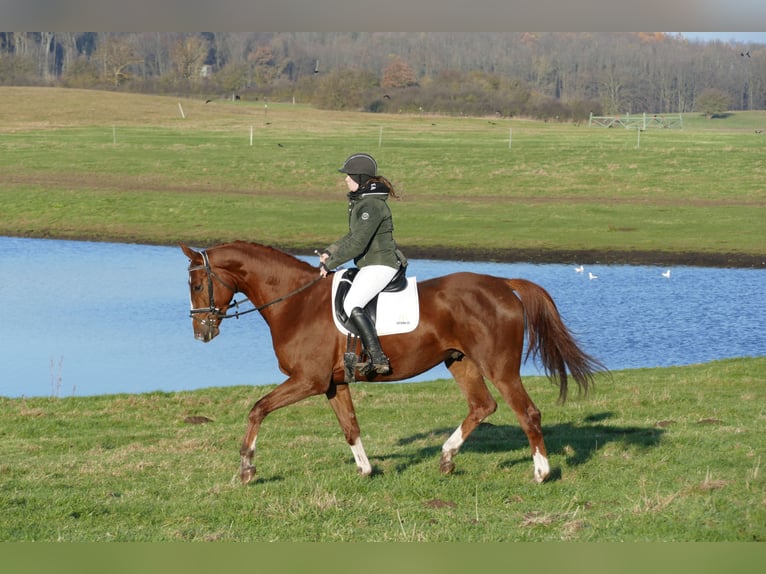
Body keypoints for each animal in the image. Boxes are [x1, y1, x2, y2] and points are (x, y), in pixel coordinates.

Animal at [180, 240, 605, 485]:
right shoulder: (333, 383)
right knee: (482, 406)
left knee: (527, 413)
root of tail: (503, 284)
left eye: (197, 284)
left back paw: (541, 473)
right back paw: (447, 458)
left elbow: (257, 409)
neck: (295, 301)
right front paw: (367, 470)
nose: (201, 333)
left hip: (499, 367)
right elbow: (350, 427)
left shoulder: (308, 380)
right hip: (461, 362)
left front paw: (247, 468)